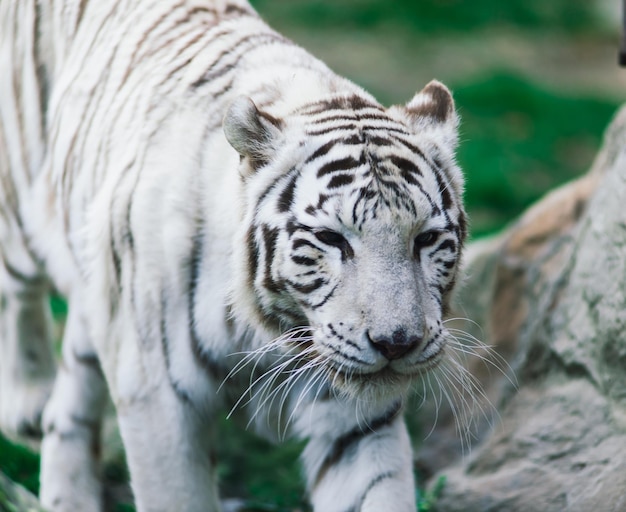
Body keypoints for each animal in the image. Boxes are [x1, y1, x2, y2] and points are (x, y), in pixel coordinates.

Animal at [0, 1, 466, 512]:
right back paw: (27, 398)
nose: (397, 343)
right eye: (330, 238)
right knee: (18, 290)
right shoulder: (157, 396)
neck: (270, 329)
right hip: (21, 209)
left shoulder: (356, 419)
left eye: (425, 239)